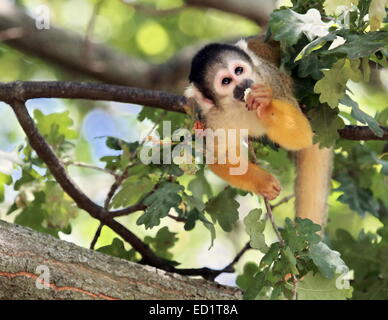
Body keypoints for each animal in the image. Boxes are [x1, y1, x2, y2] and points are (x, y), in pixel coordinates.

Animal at [184, 37, 330, 226]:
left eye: (239, 70)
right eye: (226, 81)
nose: (244, 83)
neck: (241, 106)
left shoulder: (269, 81)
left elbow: (303, 136)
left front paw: (265, 105)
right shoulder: (213, 118)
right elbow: (218, 156)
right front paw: (263, 182)